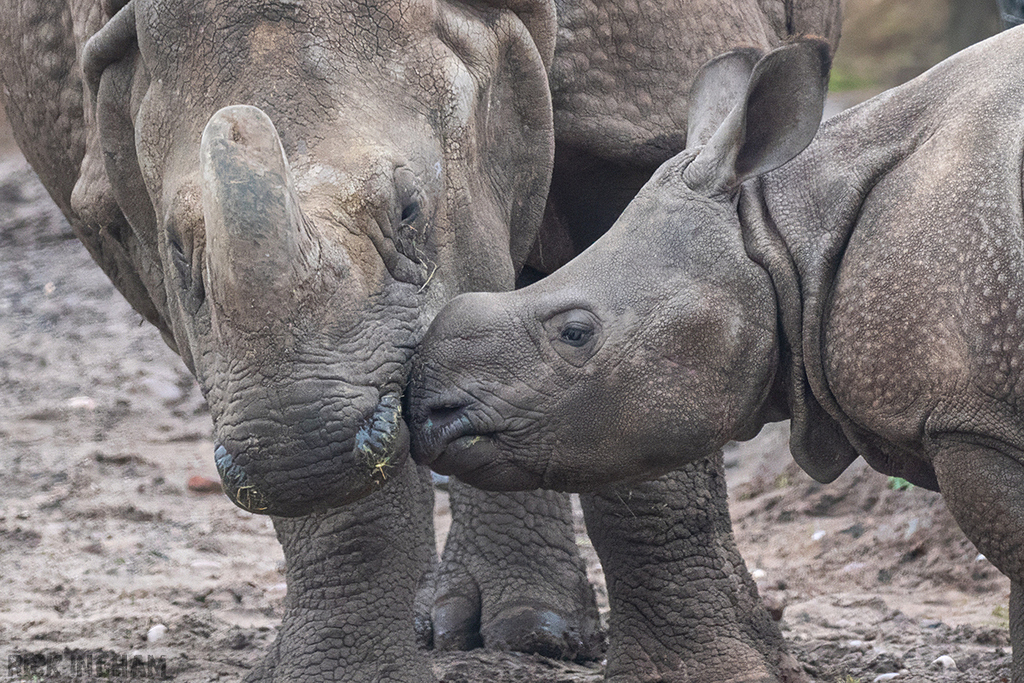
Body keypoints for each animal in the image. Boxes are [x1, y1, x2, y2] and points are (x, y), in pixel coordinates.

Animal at [1, 0, 839, 680]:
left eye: (409, 210)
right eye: (181, 248)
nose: (306, 450)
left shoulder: (639, 106)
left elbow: (647, 397)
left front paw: (717, 672)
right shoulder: (113, 144)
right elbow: (336, 499)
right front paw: (332, 672)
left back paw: (535, 634)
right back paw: (507, 629)